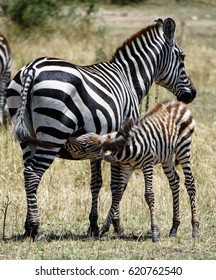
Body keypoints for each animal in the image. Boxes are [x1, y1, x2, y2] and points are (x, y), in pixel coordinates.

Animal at [77, 101, 199, 243]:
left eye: (86, 146)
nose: (70, 140)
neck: (128, 151)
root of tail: (177, 103)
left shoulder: (147, 164)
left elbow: (149, 195)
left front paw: (155, 233)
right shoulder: (127, 168)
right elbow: (118, 195)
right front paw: (103, 229)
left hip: (183, 147)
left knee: (190, 183)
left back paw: (195, 228)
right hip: (167, 156)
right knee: (174, 181)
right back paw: (174, 228)